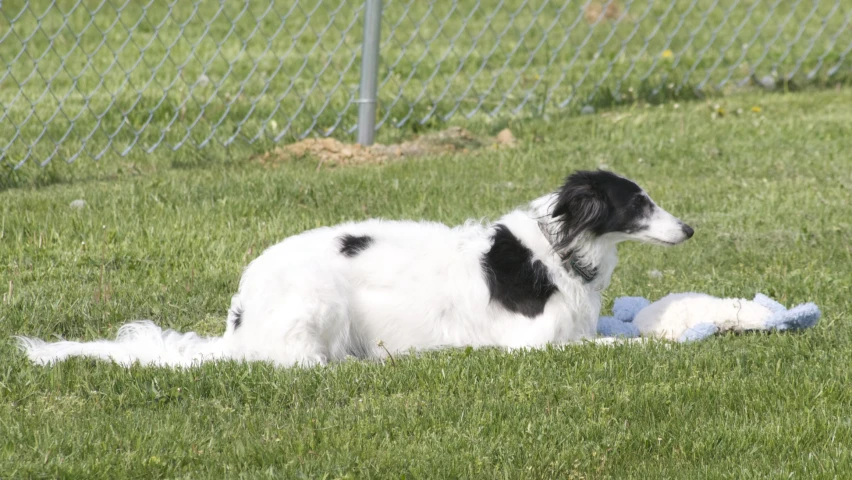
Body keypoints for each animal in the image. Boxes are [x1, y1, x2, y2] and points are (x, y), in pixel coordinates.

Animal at [18, 170, 692, 368]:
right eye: (639, 202)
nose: (689, 230)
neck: (557, 251)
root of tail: (238, 322)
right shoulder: (533, 343)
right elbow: (616, 345)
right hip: (320, 307)